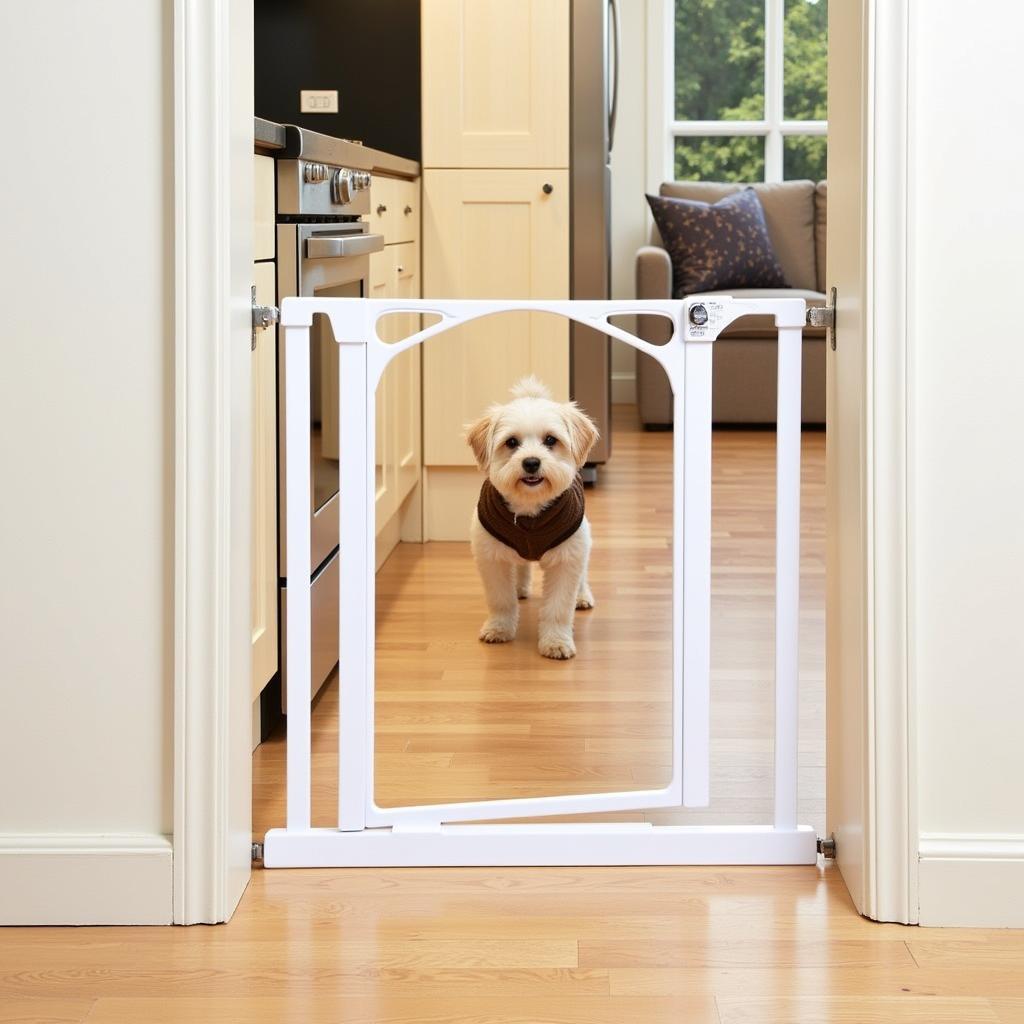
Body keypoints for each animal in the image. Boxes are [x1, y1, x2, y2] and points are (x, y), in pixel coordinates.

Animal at [466, 380, 598, 659]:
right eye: (511, 442)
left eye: (550, 440)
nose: (531, 462)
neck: (529, 512)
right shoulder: (490, 556)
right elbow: (500, 599)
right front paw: (499, 628)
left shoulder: (567, 557)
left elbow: (558, 608)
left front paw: (556, 641)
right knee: (520, 567)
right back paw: (519, 587)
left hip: (583, 540)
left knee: (582, 573)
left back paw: (582, 596)